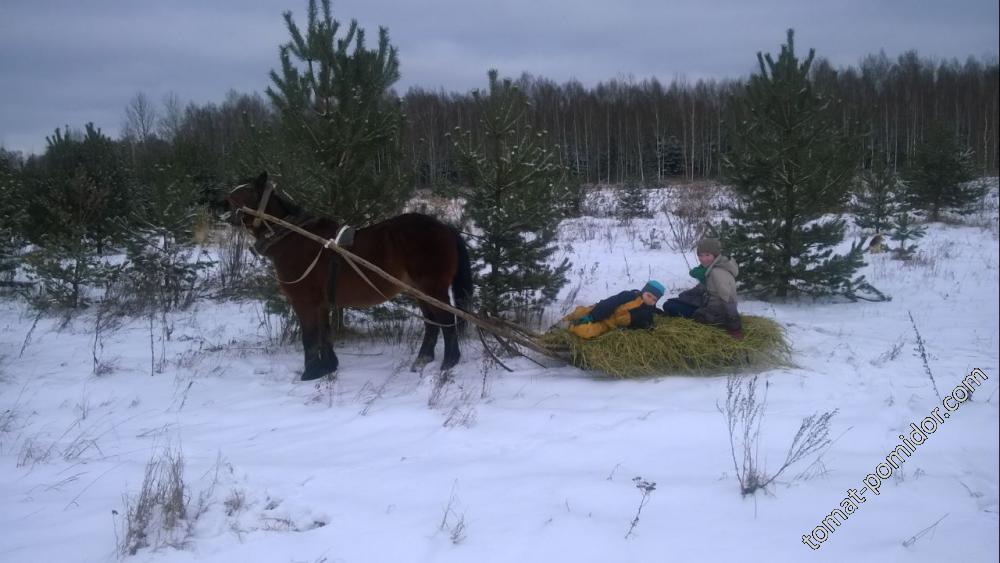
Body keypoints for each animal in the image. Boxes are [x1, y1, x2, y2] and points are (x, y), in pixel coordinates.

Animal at [225, 172, 474, 382]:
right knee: (431, 322)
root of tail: (444, 227)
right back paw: (423, 359)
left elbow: (310, 337)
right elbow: (325, 334)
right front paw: (327, 368)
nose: (224, 208)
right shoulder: (322, 303)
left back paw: (449, 362)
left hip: (433, 288)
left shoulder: (304, 303)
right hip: (419, 290)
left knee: (445, 320)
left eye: (246, 192)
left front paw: (310, 373)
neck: (295, 238)